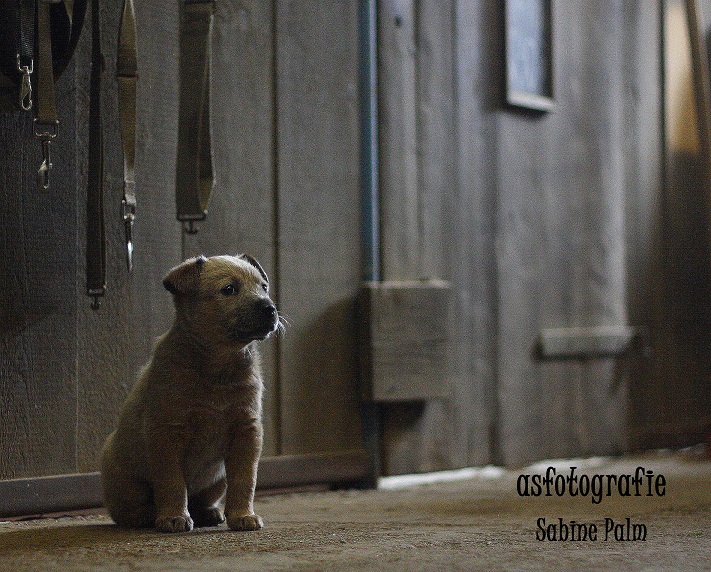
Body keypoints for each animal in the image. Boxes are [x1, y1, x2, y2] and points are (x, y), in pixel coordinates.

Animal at [101, 254, 280, 532]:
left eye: (263, 287)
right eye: (229, 289)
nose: (270, 308)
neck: (217, 370)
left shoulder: (246, 431)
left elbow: (245, 479)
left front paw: (242, 515)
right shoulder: (168, 432)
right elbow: (172, 482)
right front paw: (174, 517)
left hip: (217, 480)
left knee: (201, 499)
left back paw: (208, 513)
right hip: (125, 480)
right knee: (126, 510)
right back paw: (145, 516)